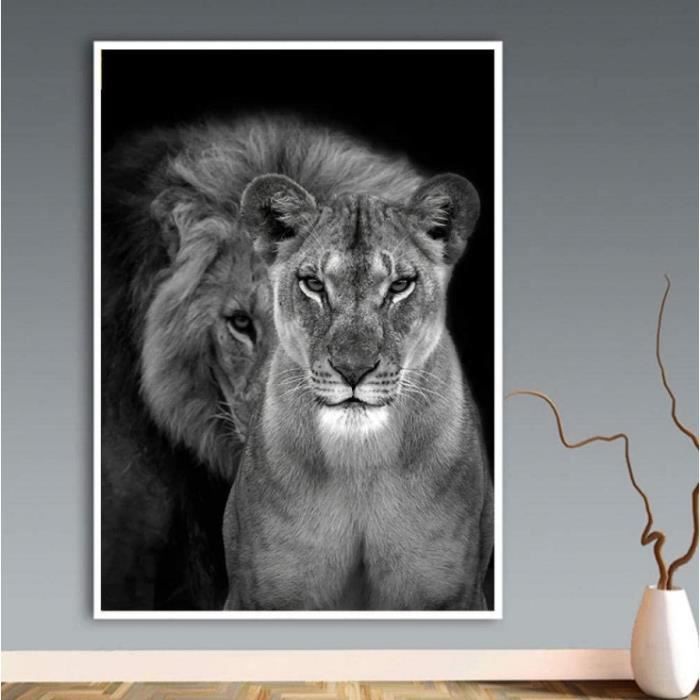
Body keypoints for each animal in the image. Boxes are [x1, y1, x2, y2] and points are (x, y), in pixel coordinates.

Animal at [222, 171, 494, 611]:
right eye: (313, 284)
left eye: (400, 285)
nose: (353, 370)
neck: (358, 462)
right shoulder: (258, 595)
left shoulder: (456, 594)